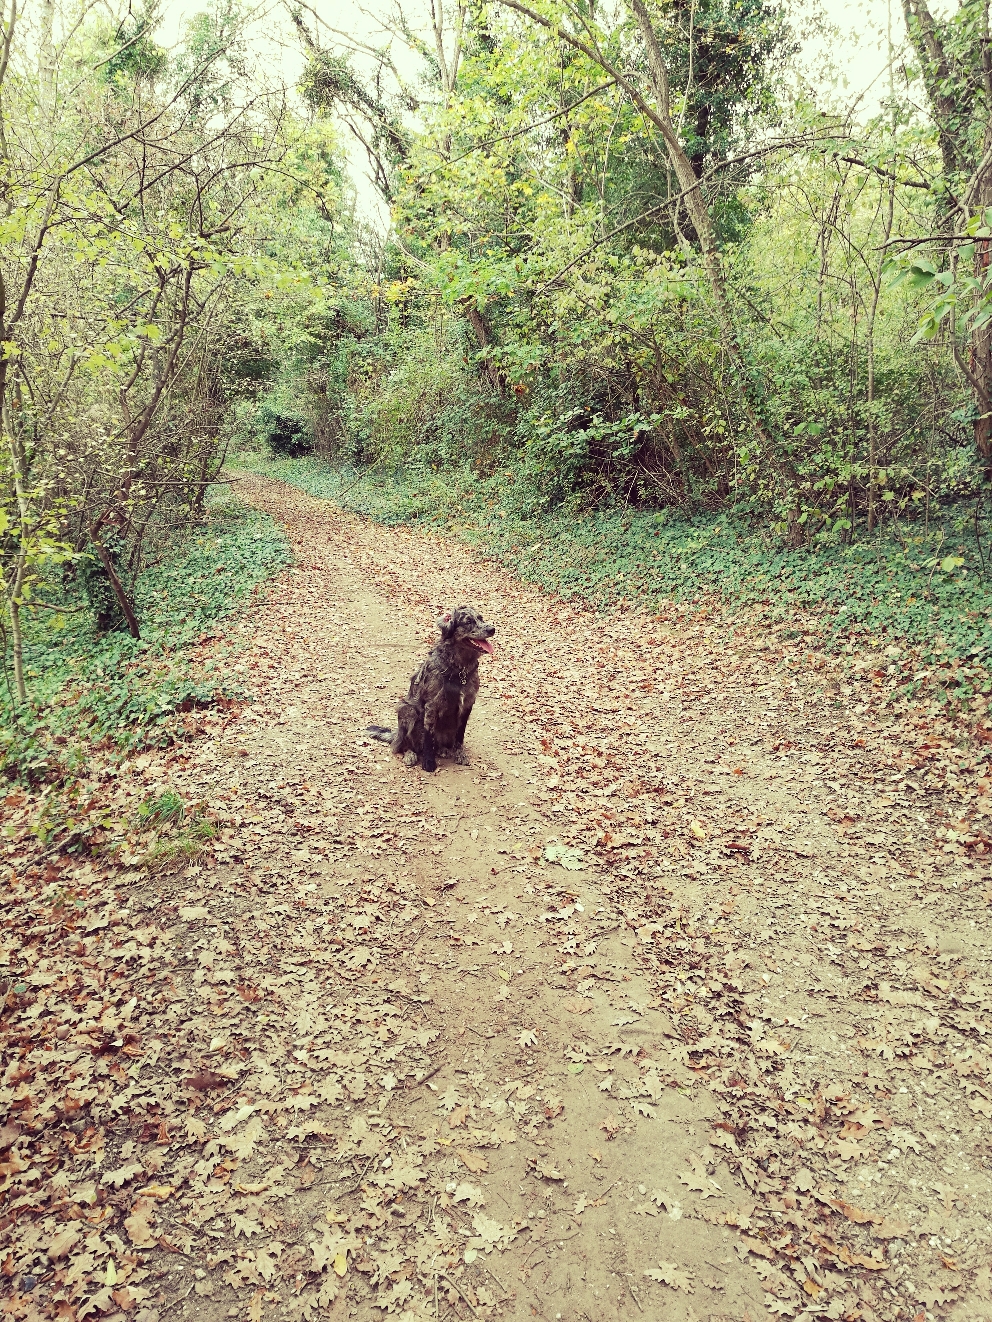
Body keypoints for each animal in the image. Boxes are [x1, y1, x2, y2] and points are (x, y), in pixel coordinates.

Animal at [370, 605, 497, 772]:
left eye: (481, 618)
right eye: (468, 621)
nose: (492, 629)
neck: (459, 669)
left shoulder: (467, 705)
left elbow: (460, 736)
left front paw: (460, 754)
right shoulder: (431, 706)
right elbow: (428, 738)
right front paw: (428, 763)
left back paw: (443, 750)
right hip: (407, 710)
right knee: (401, 745)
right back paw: (410, 754)